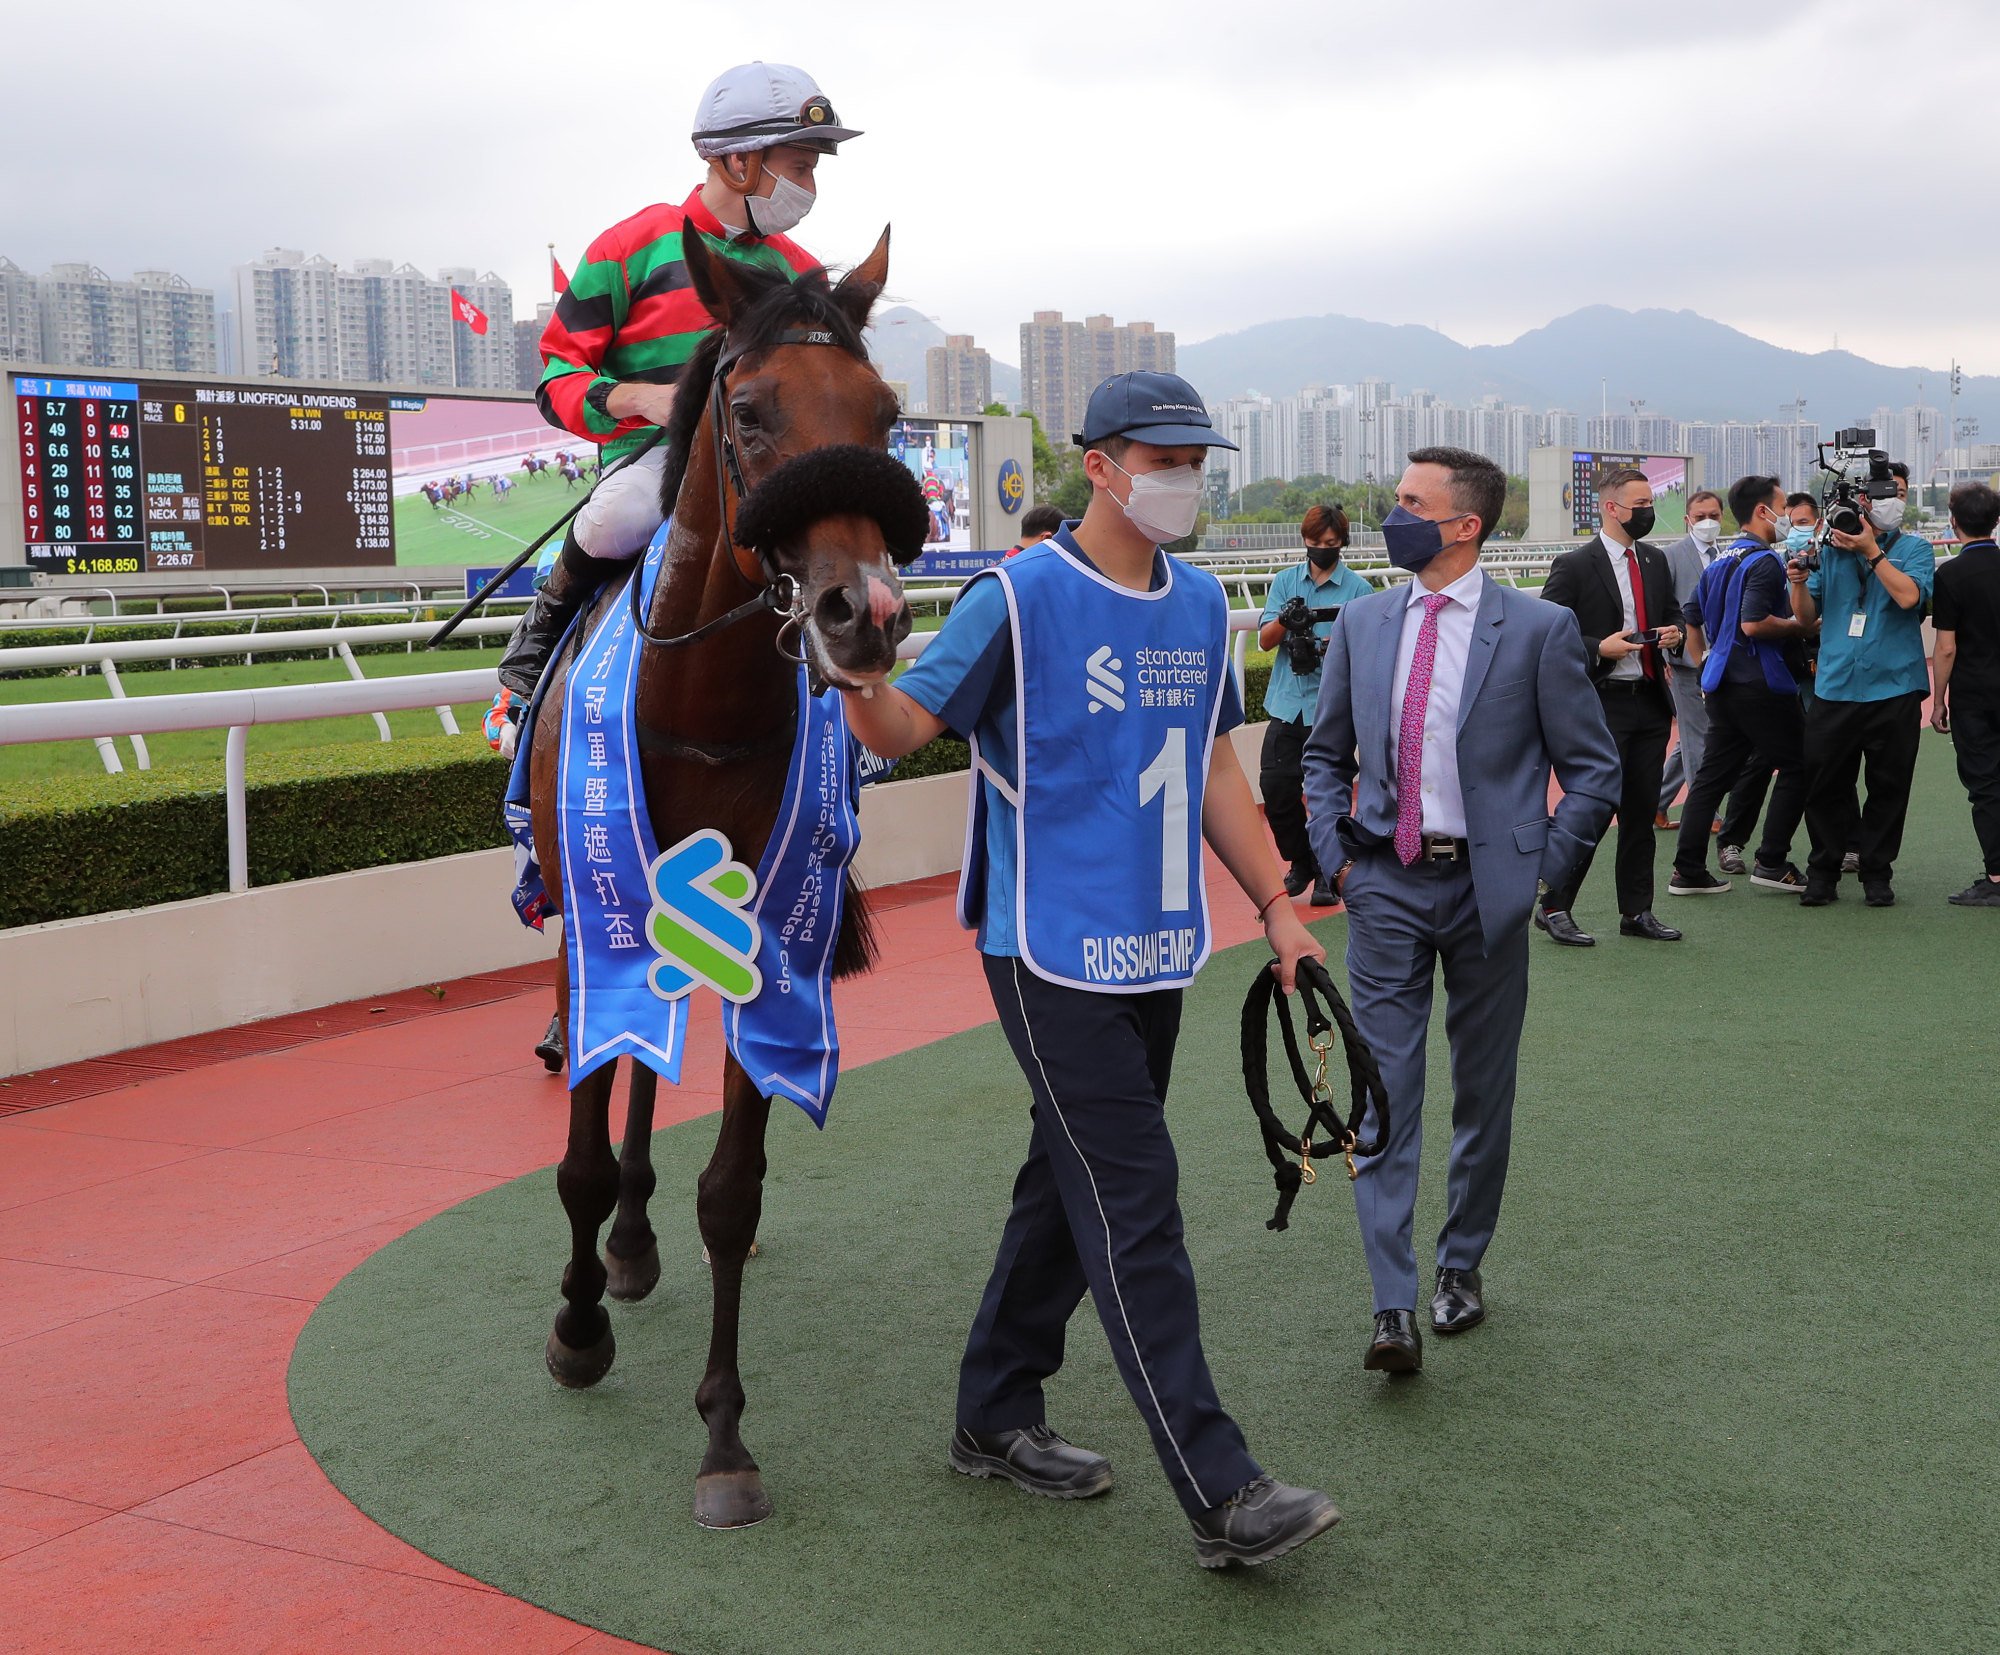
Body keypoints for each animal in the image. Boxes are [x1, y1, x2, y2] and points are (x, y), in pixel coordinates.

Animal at [524, 229, 916, 1527]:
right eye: (747, 411)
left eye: (886, 414)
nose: (863, 613)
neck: (697, 712)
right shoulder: (589, 914)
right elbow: (580, 1153)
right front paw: (575, 1328)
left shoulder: (773, 924)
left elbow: (731, 1186)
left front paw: (725, 1436)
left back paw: (639, 1240)